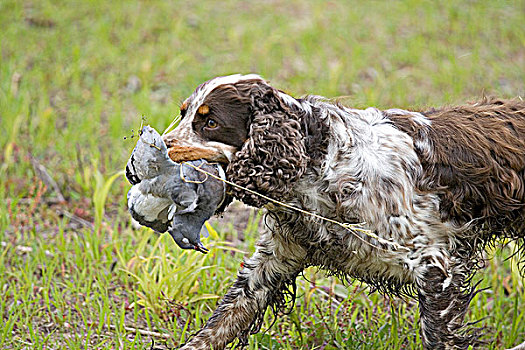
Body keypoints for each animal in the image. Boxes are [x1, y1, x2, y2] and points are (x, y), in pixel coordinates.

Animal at [161, 74, 524, 350]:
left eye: (210, 122)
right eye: (183, 114)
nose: (161, 145)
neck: (324, 169)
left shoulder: (435, 266)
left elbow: (438, 337)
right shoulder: (274, 260)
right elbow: (221, 322)